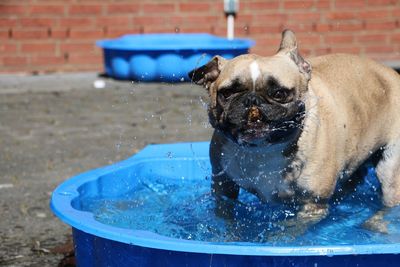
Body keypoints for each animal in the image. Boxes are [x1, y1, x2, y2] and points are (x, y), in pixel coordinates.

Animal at [189, 29, 400, 226]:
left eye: (279, 93)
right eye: (227, 93)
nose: (252, 100)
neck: (263, 150)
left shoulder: (311, 205)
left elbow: (290, 231)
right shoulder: (223, 187)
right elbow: (227, 219)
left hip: (390, 172)